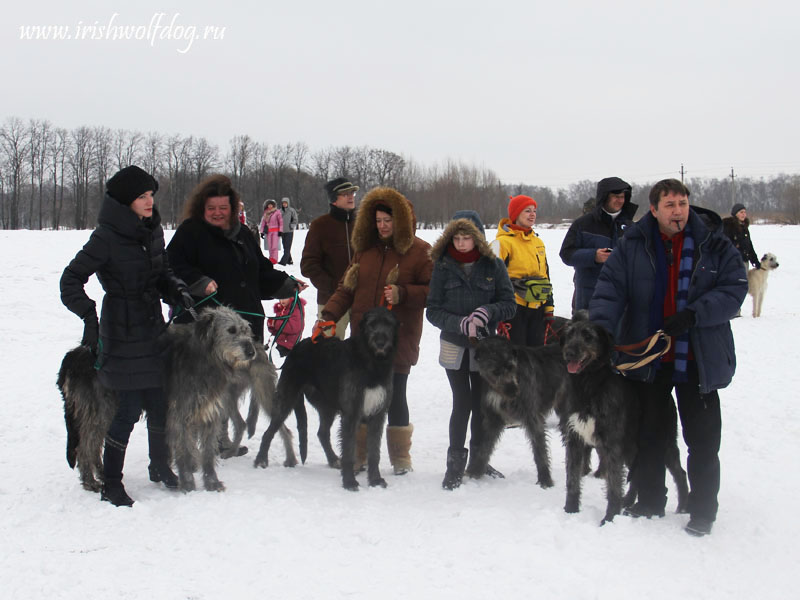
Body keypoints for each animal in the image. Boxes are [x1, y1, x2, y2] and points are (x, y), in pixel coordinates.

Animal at [255, 308, 398, 490]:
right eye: (372, 324)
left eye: (389, 324)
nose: (380, 343)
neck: (371, 361)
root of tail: (298, 345)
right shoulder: (351, 413)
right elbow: (349, 450)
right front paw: (349, 482)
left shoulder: (378, 414)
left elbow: (374, 452)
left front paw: (375, 480)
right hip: (287, 398)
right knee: (270, 431)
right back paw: (260, 460)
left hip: (327, 406)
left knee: (322, 433)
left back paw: (333, 459)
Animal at [472, 338, 564, 488]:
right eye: (495, 371)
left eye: (510, 366)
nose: (514, 391)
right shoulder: (493, 418)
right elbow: (484, 447)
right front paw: (474, 472)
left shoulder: (532, 415)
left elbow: (539, 449)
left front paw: (545, 480)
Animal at [556, 312, 688, 524]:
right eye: (569, 335)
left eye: (588, 336)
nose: (569, 353)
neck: (589, 386)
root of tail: (669, 398)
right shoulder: (574, 438)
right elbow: (573, 480)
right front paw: (570, 510)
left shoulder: (611, 445)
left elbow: (613, 486)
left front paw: (609, 519)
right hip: (631, 447)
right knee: (638, 473)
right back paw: (629, 501)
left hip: (664, 442)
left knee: (680, 473)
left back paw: (682, 506)